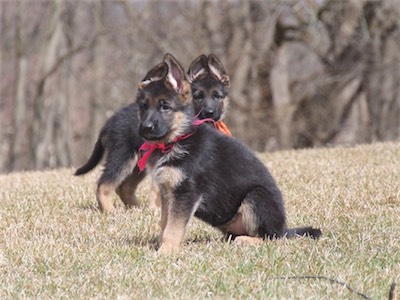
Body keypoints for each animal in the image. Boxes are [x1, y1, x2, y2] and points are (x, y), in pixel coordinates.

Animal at [137, 54, 322, 255]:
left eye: (165, 107)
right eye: (143, 107)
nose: (145, 128)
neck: (177, 139)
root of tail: (284, 229)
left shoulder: (186, 193)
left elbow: (173, 227)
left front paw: (165, 251)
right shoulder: (167, 192)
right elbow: (165, 223)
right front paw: (160, 246)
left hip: (256, 197)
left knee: (271, 237)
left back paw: (247, 241)